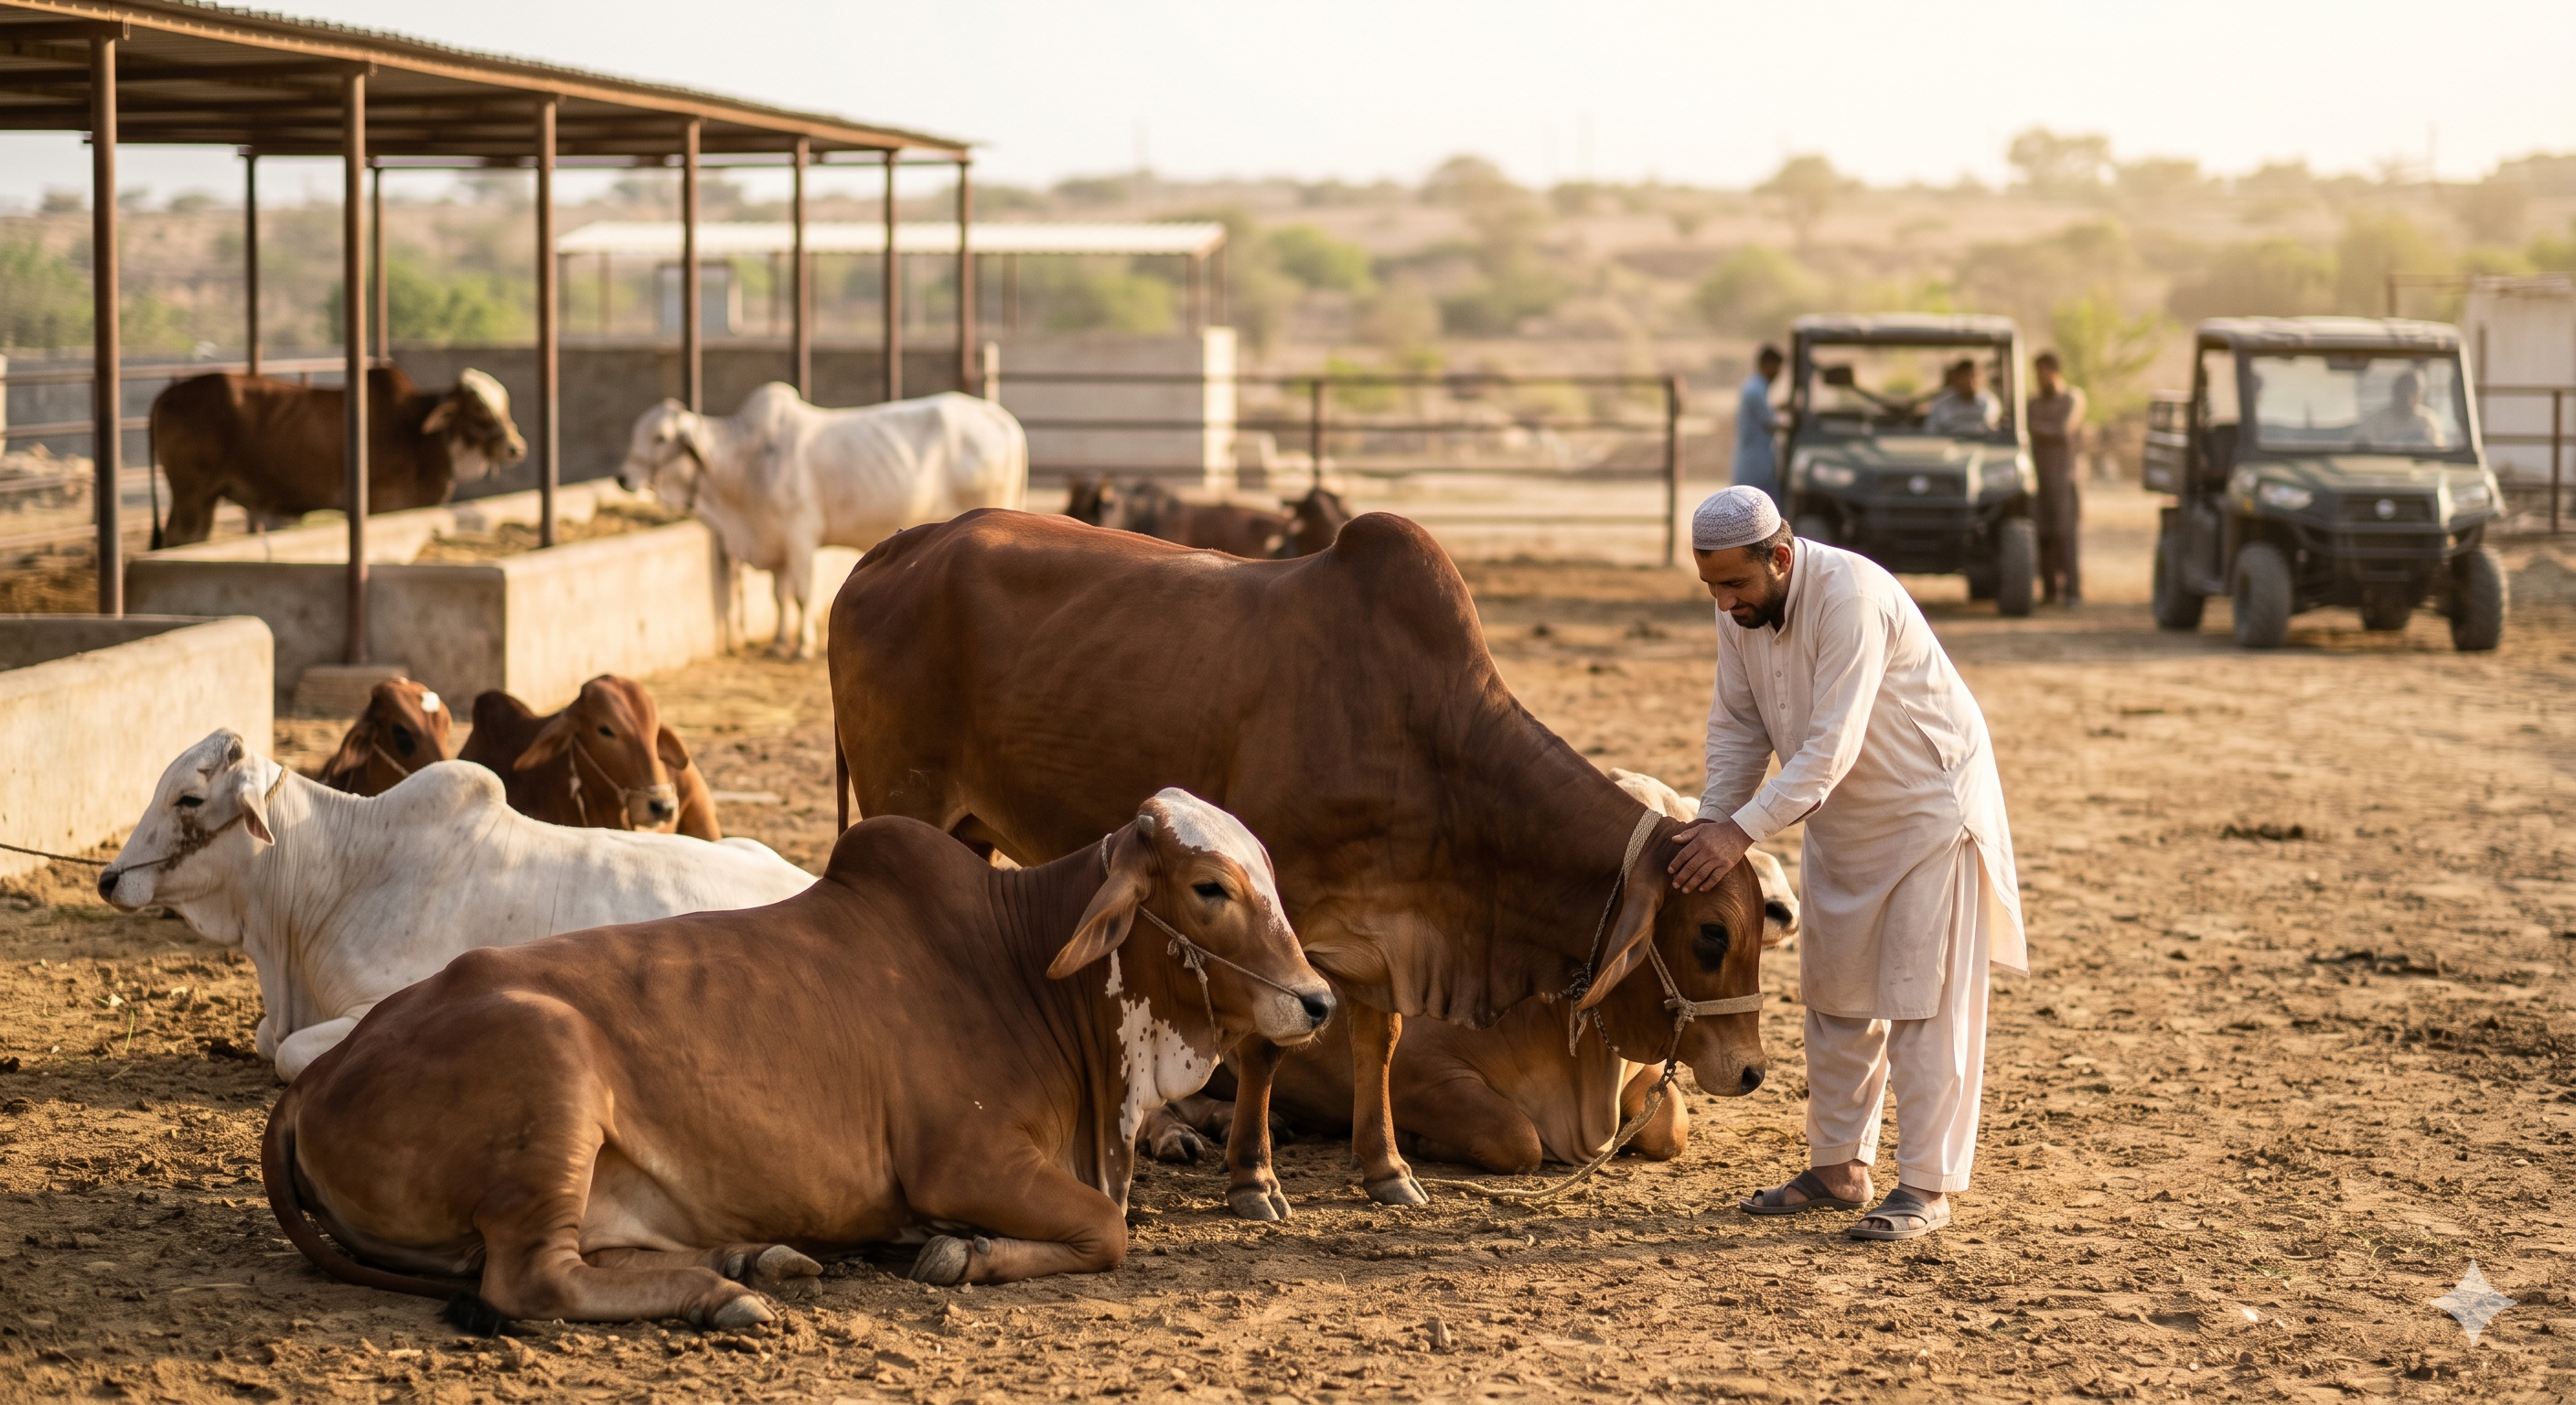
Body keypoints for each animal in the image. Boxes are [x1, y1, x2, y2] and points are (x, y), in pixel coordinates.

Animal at [151, 365, 526, 546]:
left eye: (505, 403)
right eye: (479, 407)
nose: (516, 447)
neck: (417, 434)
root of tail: (169, 392)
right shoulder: (382, 505)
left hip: (204, 498)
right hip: (192, 495)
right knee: (182, 539)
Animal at [260, 789, 1333, 1326]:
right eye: (1207, 886)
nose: (1317, 999)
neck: (1026, 968)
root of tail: (317, 1080)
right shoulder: (961, 1160)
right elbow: (1106, 1232)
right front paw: (960, 1252)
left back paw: (753, 1255)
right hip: (552, 1068)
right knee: (531, 1283)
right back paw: (723, 1294)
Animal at [615, 384, 1028, 659]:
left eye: (660, 437)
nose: (623, 477)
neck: (745, 463)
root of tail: (1001, 418)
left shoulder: (800, 535)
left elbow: (801, 594)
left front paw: (803, 647)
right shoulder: (778, 544)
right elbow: (780, 597)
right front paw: (779, 642)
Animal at [828, 509, 1769, 1220]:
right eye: (1712, 936)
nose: (1753, 1068)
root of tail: (895, 547)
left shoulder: (1382, 931)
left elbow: (1378, 1040)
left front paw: (1388, 1171)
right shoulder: (1281, 918)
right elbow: (1268, 1046)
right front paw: (1254, 1181)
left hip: (970, 826)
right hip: (906, 799)